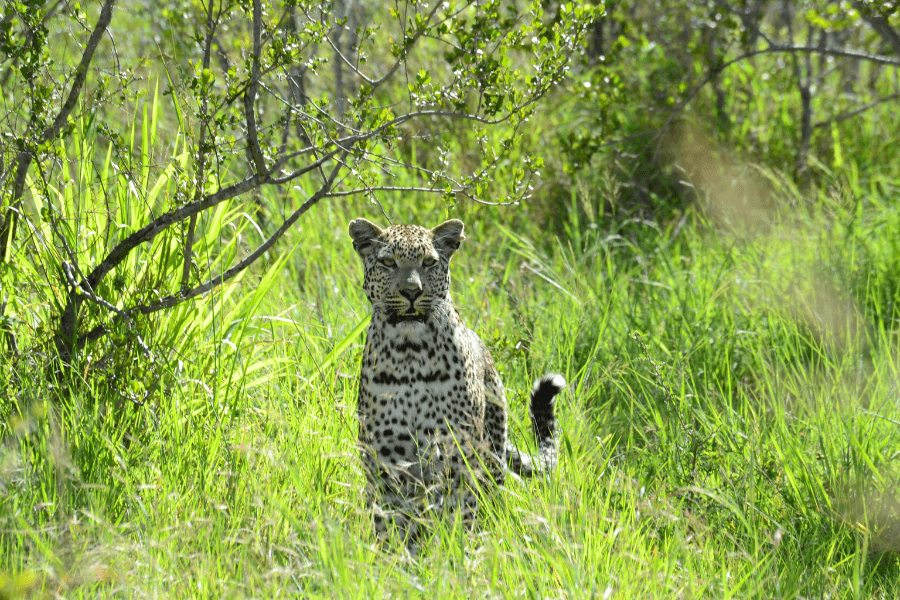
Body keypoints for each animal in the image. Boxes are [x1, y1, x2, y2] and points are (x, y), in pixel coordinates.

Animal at [348, 217, 566, 543]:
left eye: (429, 262)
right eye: (387, 262)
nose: (411, 291)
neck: (410, 354)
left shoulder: (456, 451)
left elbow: (457, 512)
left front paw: (455, 549)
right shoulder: (386, 457)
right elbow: (390, 522)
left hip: (492, 449)